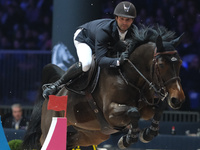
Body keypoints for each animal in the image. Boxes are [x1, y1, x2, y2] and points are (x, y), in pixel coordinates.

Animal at [21, 24, 184, 150]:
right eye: (161, 64)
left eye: (180, 62)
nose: (178, 100)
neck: (129, 76)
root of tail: (51, 97)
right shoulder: (111, 113)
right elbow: (133, 111)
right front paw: (128, 139)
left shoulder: (146, 108)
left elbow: (157, 108)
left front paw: (148, 133)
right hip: (51, 130)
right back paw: (50, 88)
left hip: (91, 135)